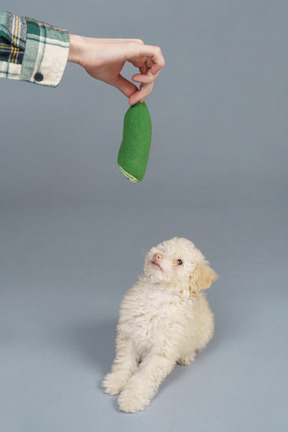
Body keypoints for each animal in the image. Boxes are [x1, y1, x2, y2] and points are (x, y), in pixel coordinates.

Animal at [102, 238, 217, 414]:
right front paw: (116, 381)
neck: (158, 293)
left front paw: (132, 398)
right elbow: (124, 363)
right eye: (162, 248)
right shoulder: (129, 336)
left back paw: (185, 356)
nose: (157, 255)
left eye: (179, 261)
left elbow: (143, 378)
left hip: (205, 332)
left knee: (193, 347)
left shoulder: (161, 350)